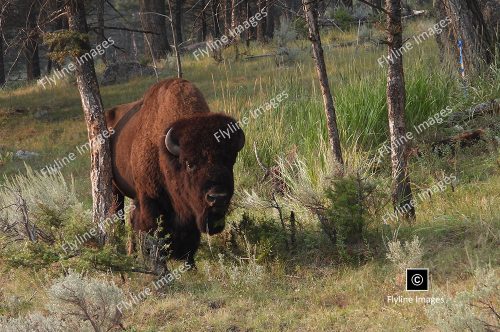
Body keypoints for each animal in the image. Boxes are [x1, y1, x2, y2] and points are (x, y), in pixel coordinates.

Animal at [105, 79, 244, 272]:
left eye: (229, 161)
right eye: (189, 164)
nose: (217, 197)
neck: (166, 155)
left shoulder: (190, 209)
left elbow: (191, 238)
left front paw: (190, 266)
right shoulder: (149, 199)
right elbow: (153, 233)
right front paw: (160, 268)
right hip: (115, 189)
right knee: (119, 216)